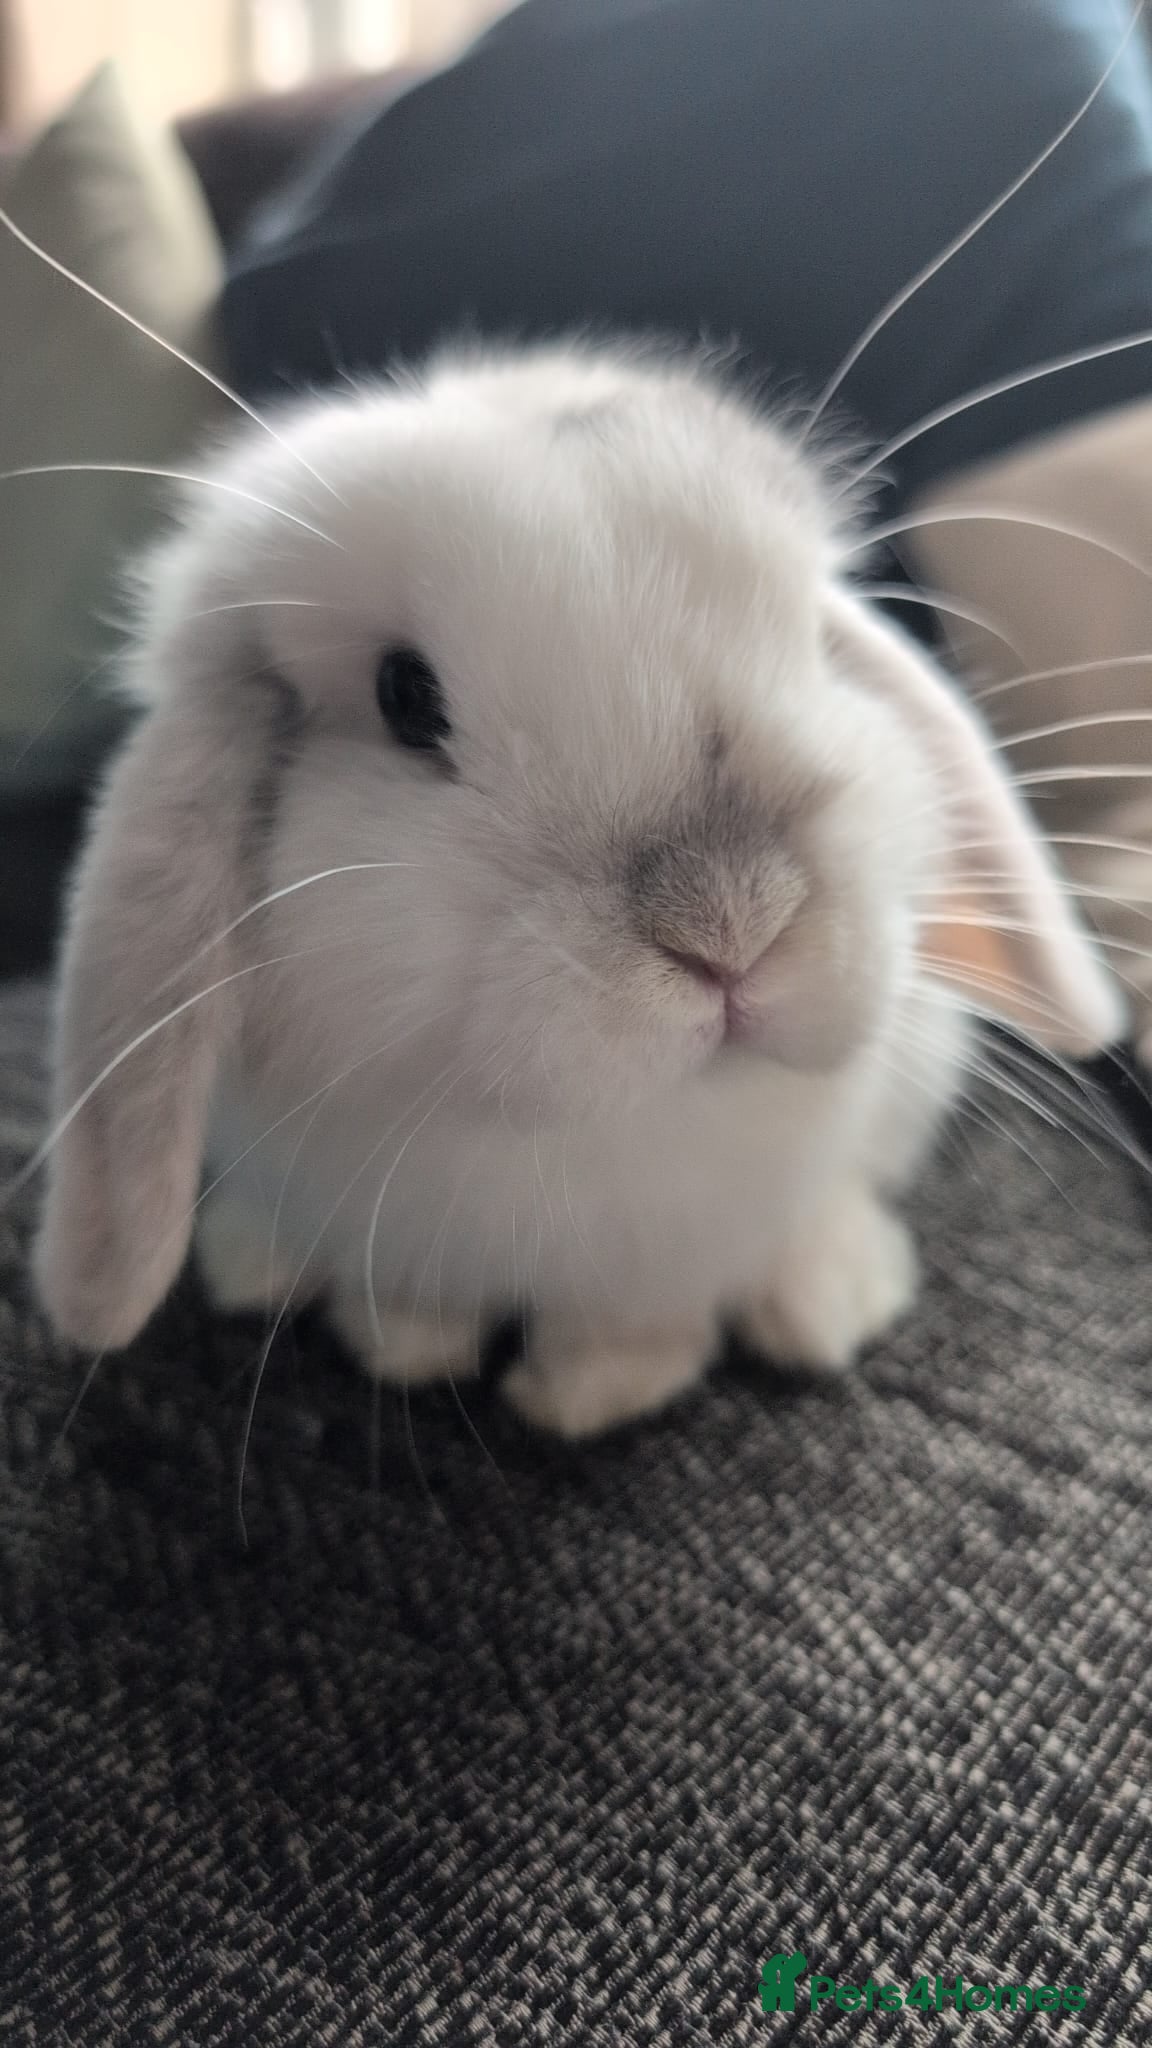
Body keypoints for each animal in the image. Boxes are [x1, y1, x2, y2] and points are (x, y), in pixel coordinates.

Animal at [32, 343, 1124, 1437]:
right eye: (405, 698)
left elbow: (640, 1328)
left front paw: (585, 1396)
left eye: (812, 645)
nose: (732, 927)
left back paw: (829, 1298)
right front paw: (409, 1347)